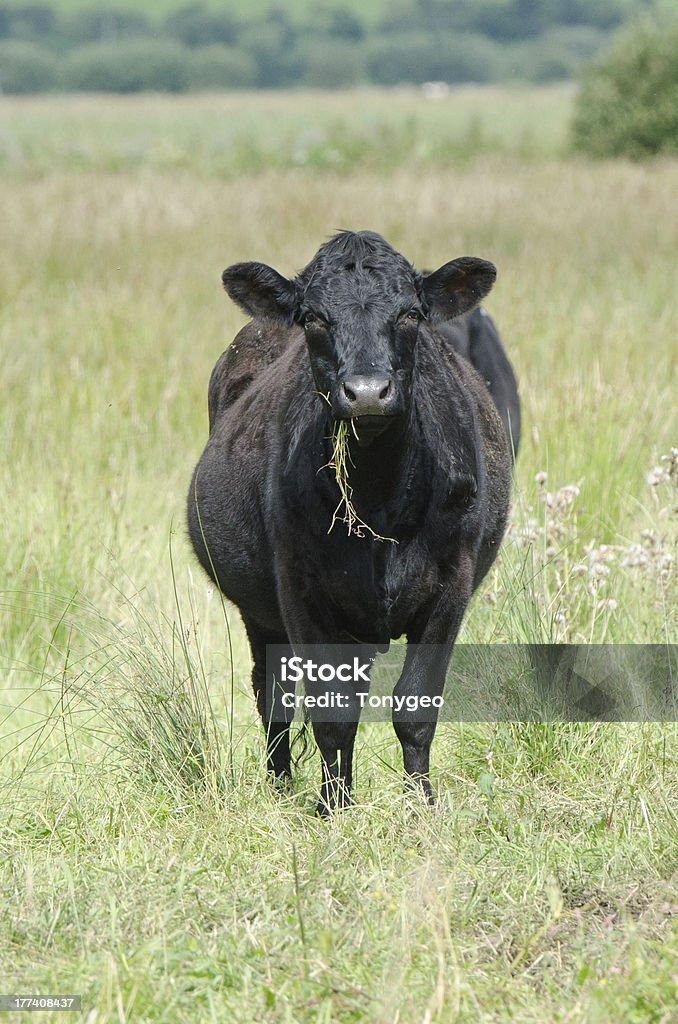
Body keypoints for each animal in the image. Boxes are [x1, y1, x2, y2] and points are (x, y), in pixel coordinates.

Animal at [188, 232, 518, 815]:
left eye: (410, 314)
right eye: (315, 318)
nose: (367, 392)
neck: (379, 498)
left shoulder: (451, 588)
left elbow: (415, 708)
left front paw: (421, 806)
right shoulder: (300, 593)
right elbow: (331, 713)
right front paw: (333, 809)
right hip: (262, 614)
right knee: (274, 697)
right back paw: (281, 788)